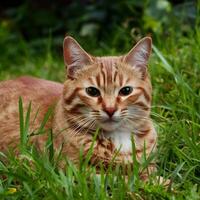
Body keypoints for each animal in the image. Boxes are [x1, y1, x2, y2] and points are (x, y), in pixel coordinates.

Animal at [0, 36, 156, 177]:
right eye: (92, 91)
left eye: (126, 91)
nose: (110, 109)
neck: (118, 136)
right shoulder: (79, 172)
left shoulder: (148, 166)